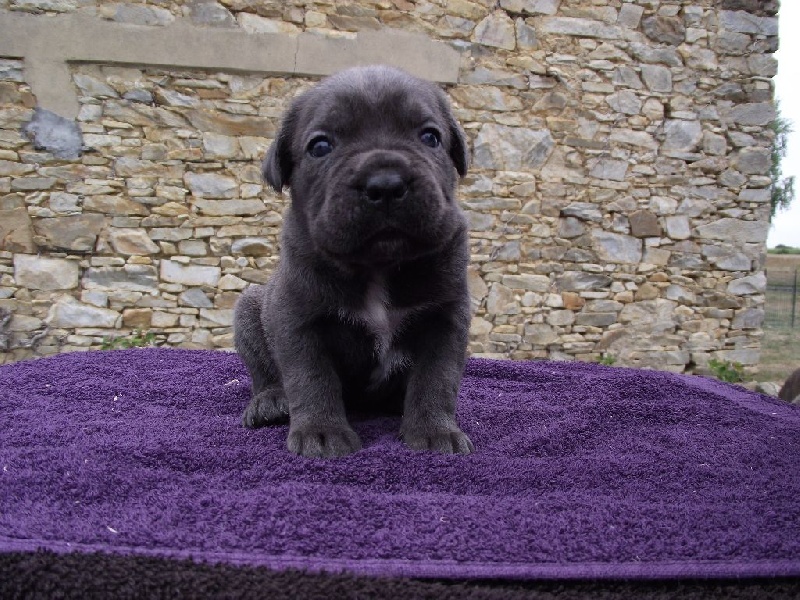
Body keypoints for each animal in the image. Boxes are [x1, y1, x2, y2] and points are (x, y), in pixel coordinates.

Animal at [233, 66, 473, 458]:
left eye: (430, 137)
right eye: (320, 146)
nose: (386, 183)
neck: (379, 265)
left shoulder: (446, 319)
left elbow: (437, 379)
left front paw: (435, 431)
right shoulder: (298, 320)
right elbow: (311, 378)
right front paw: (322, 432)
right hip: (249, 312)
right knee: (264, 373)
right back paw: (269, 402)